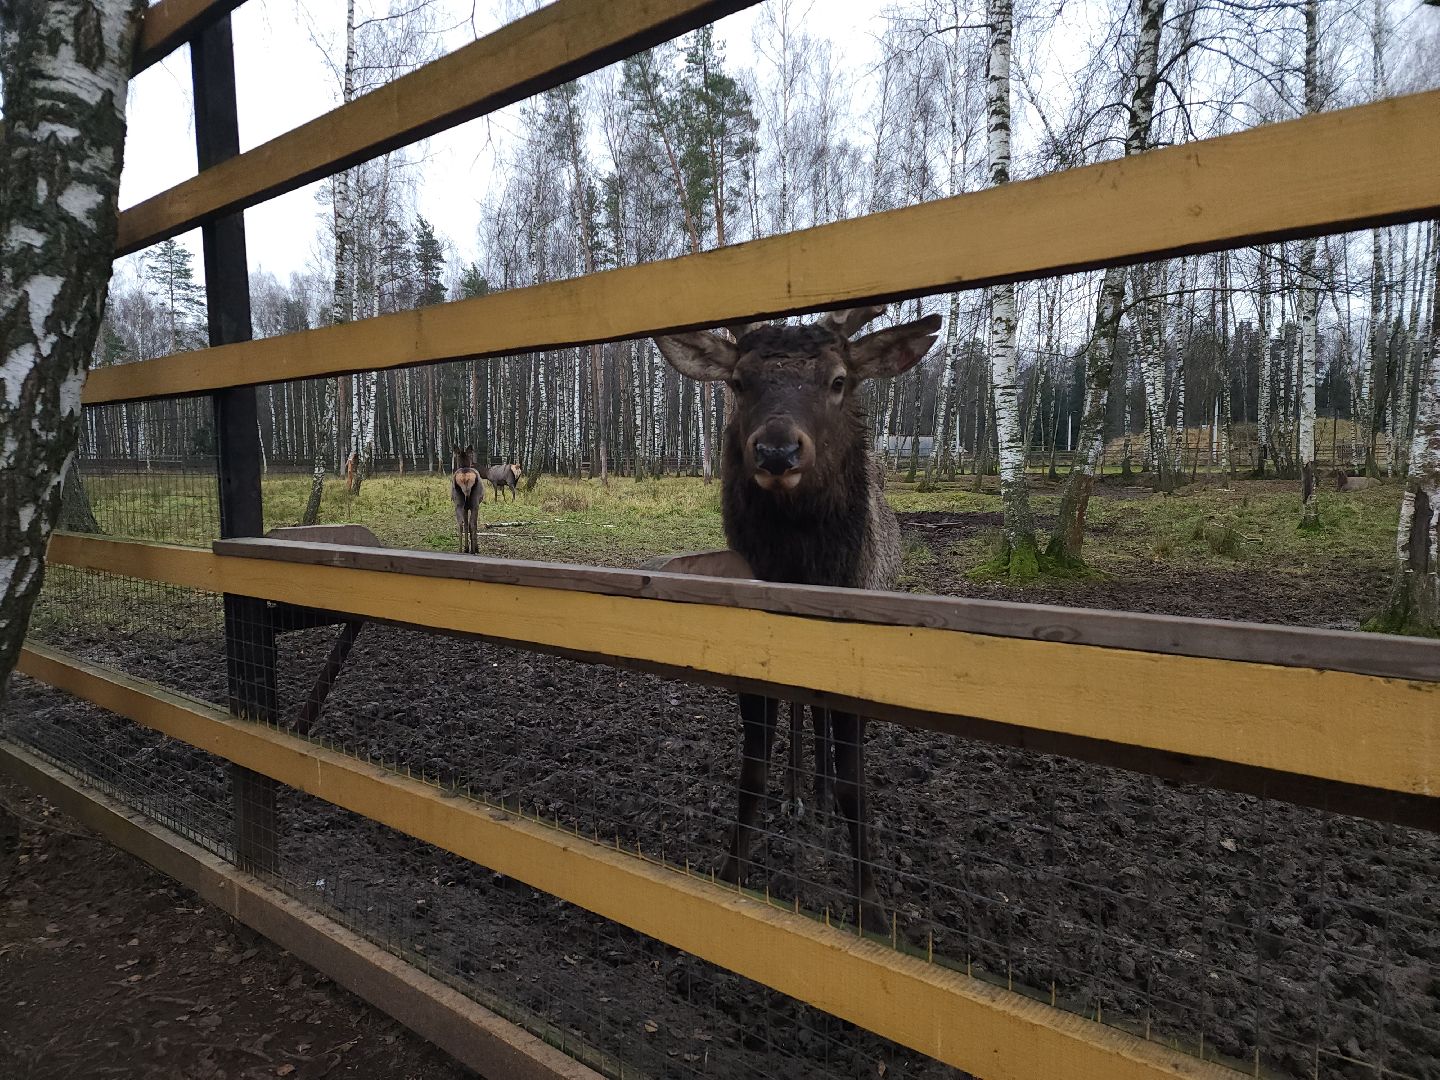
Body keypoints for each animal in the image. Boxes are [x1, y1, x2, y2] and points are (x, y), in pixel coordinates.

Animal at [654, 305, 941, 934]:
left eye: (838, 380)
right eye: (739, 383)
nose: (777, 453)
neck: (802, 575)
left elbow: (856, 782)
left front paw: (870, 907)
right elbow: (753, 768)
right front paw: (733, 869)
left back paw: (820, 793)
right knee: (800, 713)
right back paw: (797, 790)